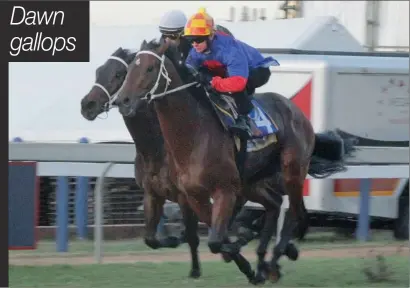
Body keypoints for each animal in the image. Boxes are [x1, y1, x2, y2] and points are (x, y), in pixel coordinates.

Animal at [115, 39, 356, 284]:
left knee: (294, 212)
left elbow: (215, 241)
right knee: (275, 204)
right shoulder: (189, 195)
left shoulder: (224, 191)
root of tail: (298, 113)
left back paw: (274, 260)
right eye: (130, 69)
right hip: (251, 182)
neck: (194, 135)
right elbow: (183, 237)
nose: (122, 100)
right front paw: (246, 263)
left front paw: (242, 256)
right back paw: (264, 258)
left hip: (292, 171)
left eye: (150, 68)